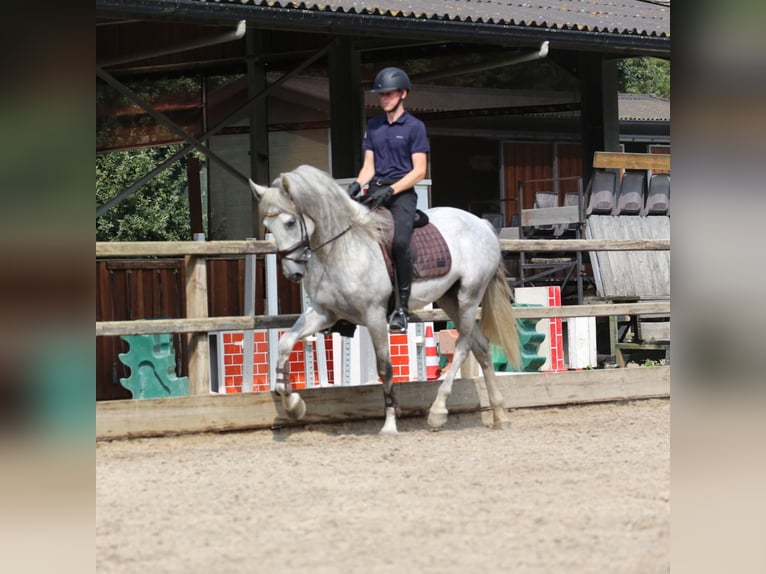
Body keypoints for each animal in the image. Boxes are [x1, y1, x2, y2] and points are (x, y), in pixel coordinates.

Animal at [252, 164, 520, 434]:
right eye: (267, 225)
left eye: (289, 222)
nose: (293, 273)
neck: (341, 248)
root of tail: (480, 223)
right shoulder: (323, 313)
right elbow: (285, 342)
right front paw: (292, 404)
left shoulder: (374, 316)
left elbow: (385, 366)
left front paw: (390, 423)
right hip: (449, 299)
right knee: (481, 346)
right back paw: (500, 415)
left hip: (468, 297)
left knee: (463, 345)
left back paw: (438, 411)